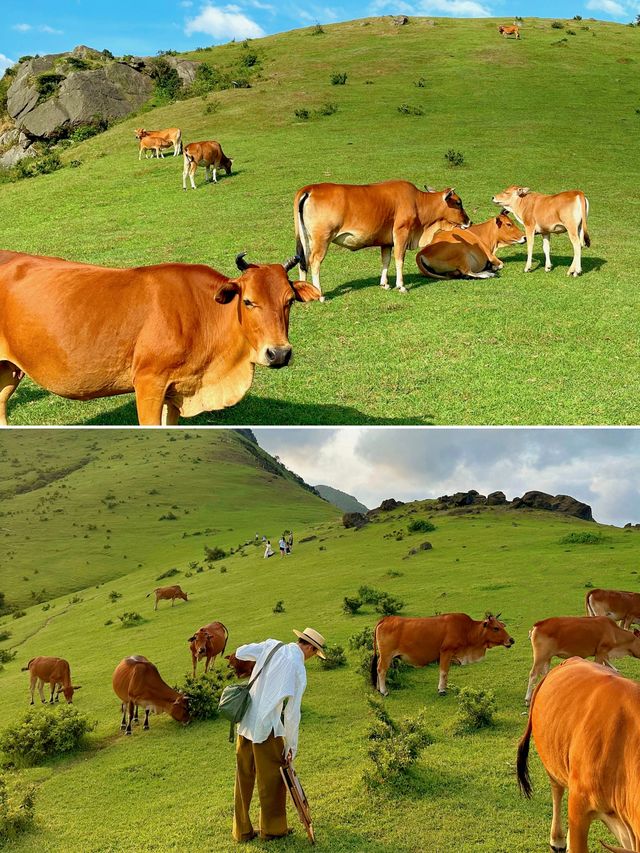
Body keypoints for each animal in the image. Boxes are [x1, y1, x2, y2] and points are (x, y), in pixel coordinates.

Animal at [0, 251, 318, 426]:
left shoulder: (175, 389)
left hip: (10, 370)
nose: (279, 353)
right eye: (249, 301)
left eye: (289, 300)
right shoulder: (148, 382)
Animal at [294, 180, 470, 300]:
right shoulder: (401, 233)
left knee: (302, 261)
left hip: (305, 239)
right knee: (314, 262)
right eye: (458, 202)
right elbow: (399, 259)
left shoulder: (386, 242)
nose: (469, 221)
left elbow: (386, 260)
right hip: (322, 239)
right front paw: (401, 285)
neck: (417, 202)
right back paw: (319, 294)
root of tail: (309, 189)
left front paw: (385, 283)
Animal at [370, 608, 516, 696]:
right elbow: (444, 672)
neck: (467, 630)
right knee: (381, 670)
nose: (511, 640)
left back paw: (378, 688)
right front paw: (441, 689)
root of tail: (386, 619)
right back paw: (384, 691)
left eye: (502, 625)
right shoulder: (446, 652)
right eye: (496, 628)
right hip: (386, 655)